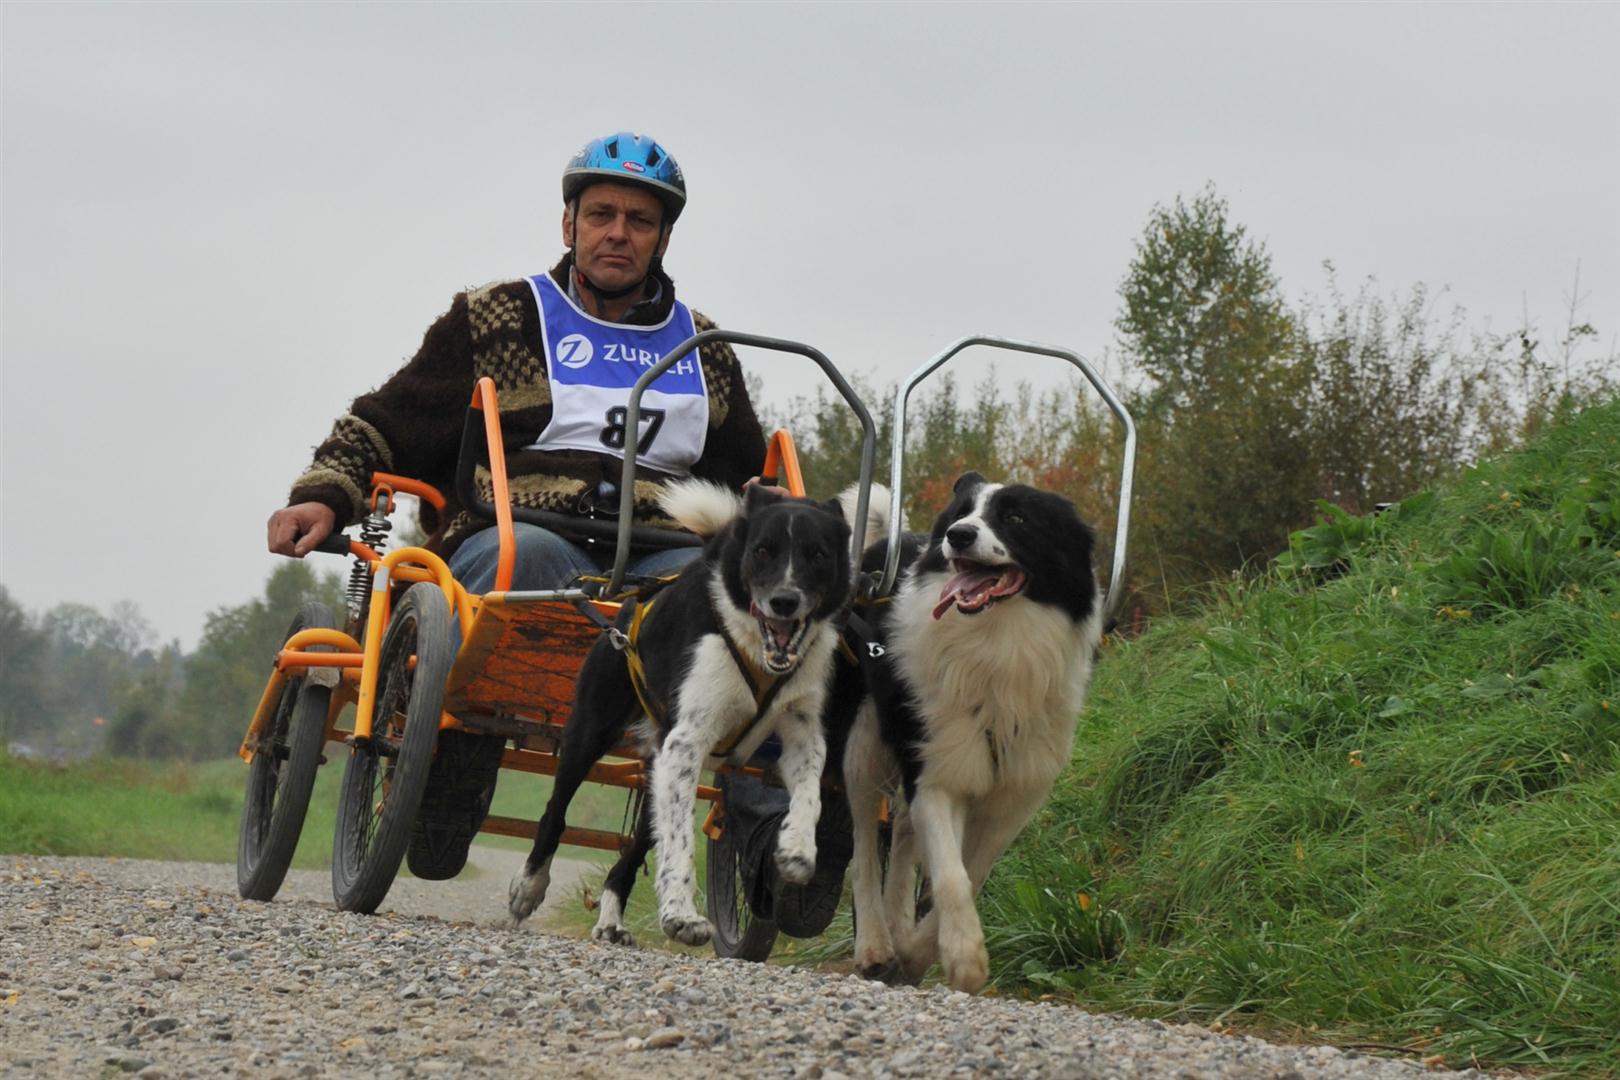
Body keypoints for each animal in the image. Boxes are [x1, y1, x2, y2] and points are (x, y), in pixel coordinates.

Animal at [507, 479, 873, 947]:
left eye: (818, 554)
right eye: (762, 551)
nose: (784, 601)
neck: (753, 647)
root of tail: (631, 599)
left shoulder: (800, 734)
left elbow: (810, 795)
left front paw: (796, 846)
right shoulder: (685, 743)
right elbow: (679, 843)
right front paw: (681, 916)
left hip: (658, 773)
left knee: (631, 853)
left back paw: (610, 919)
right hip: (590, 734)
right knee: (556, 810)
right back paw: (529, 884)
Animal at [843, 471, 1102, 993]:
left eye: (1016, 518)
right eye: (962, 512)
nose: (956, 535)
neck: (996, 644)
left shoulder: (1014, 795)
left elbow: (973, 872)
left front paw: (920, 951)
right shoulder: (941, 771)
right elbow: (950, 875)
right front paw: (963, 957)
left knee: (903, 833)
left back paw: (899, 932)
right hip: (863, 743)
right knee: (863, 845)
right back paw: (876, 945)